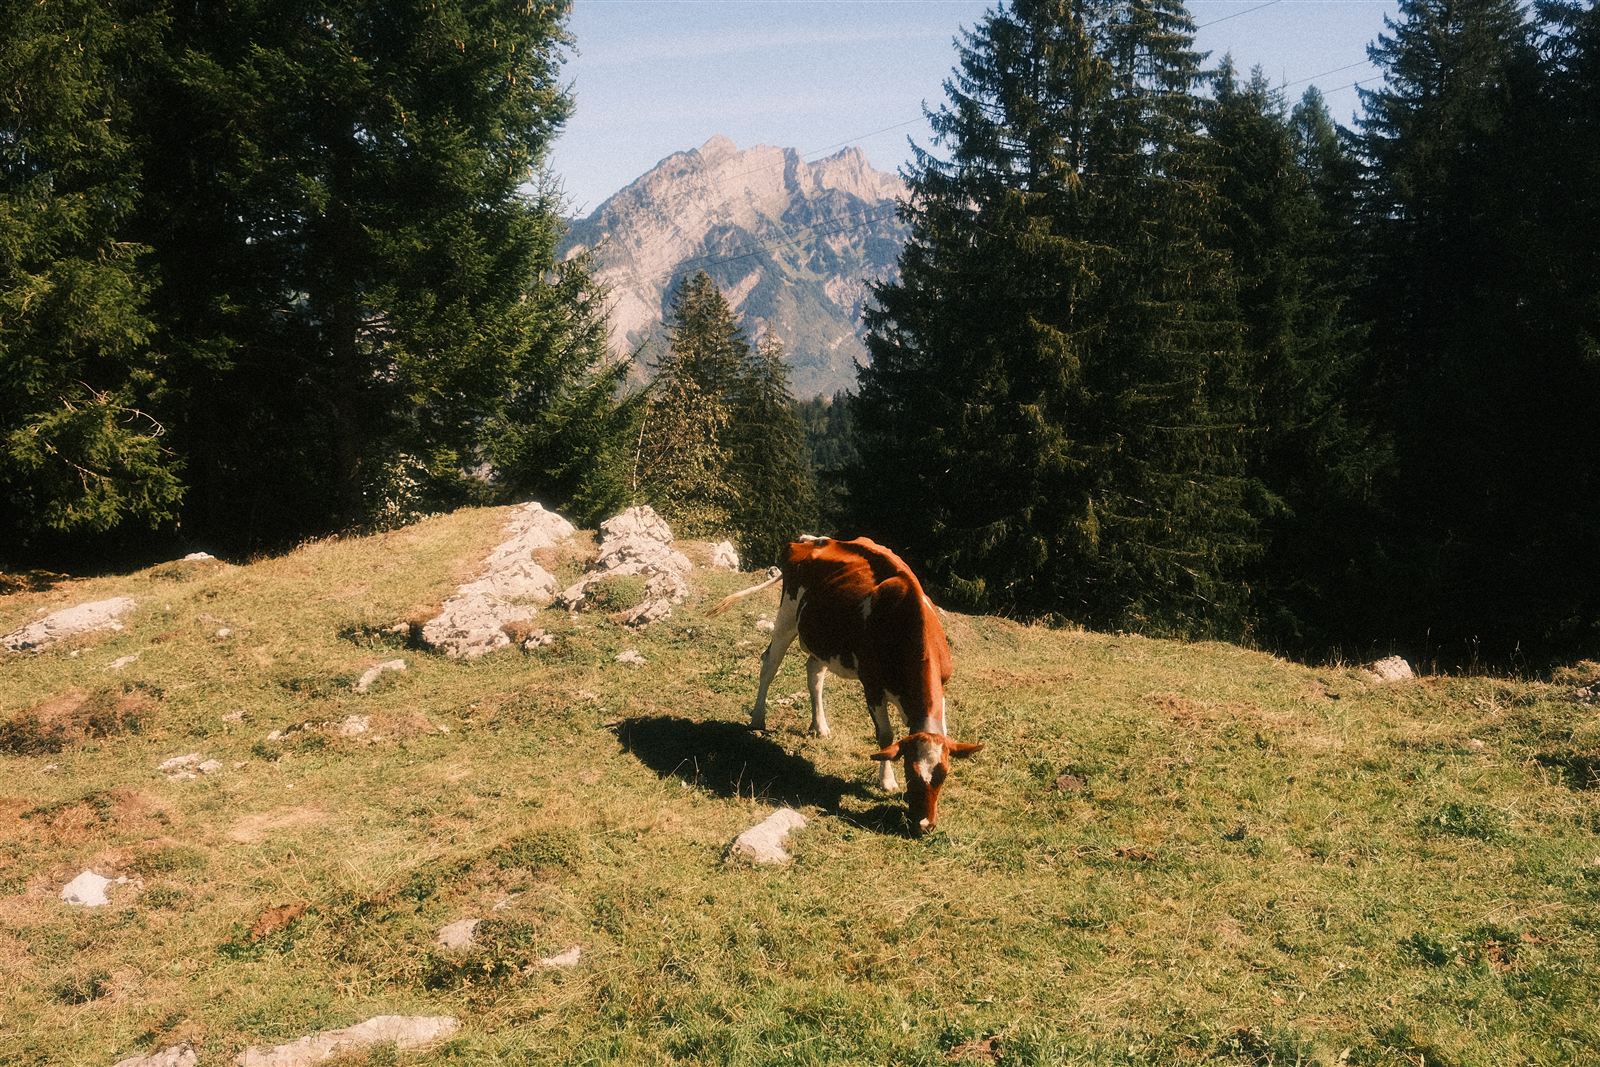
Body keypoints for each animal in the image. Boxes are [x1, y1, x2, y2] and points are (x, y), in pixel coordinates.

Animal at [712, 536, 982, 834]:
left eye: (943, 775)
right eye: (910, 774)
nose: (925, 825)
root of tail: (813, 539)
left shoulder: (942, 688)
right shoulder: (872, 685)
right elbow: (886, 737)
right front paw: (887, 782)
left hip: (822, 642)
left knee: (814, 673)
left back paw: (820, 726)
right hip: (787, 615)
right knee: (769, 664)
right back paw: (758, 719)